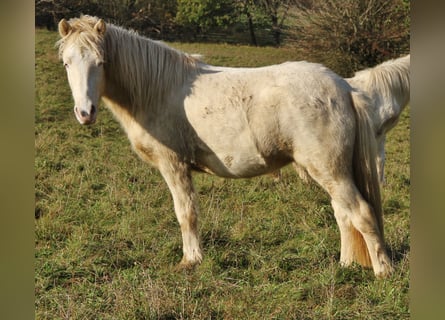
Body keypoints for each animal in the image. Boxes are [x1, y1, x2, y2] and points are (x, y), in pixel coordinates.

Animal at [56, 15, 392, 276]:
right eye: (67, 63)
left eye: (101, 62)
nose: (85, 113)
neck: (157, 90)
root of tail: (344, 87)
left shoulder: (173, 165)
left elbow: (186, 213)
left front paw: (191, 260)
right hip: (332, 172)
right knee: (344, 215)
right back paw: (346, 265)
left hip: (330, 171)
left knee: (361, 213)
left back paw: (383, 271)